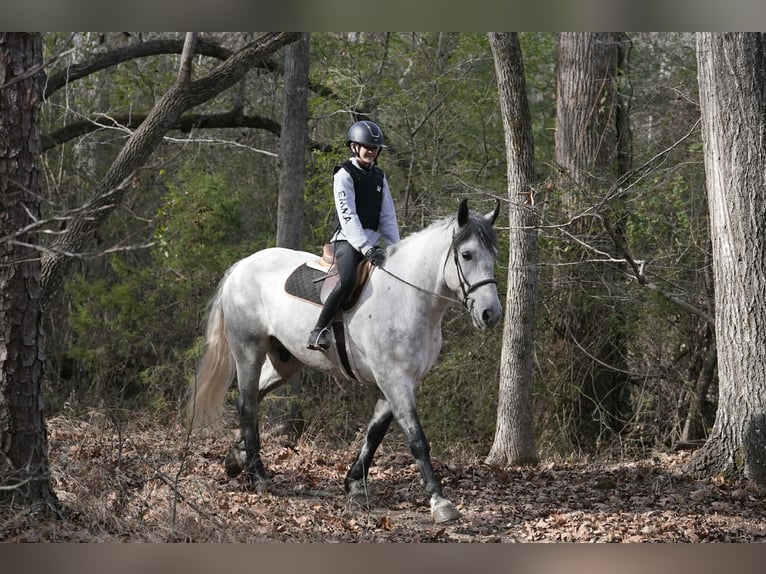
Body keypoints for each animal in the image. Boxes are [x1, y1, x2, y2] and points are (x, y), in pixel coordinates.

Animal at [189, 198, 502, 524]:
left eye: (493, 255)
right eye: (466, 255)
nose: (490, 314)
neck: (407, 297)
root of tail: (242, 265)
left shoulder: (399, 380)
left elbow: (375, 430)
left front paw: (355, 484)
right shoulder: (394, 379)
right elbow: (416, 438)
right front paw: (440, 502)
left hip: (285, 361)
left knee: (251, 397)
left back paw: (236, 459)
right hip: (249, 348)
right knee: (248, 403)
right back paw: (258, 476)